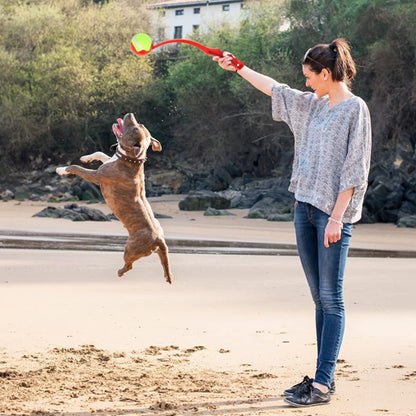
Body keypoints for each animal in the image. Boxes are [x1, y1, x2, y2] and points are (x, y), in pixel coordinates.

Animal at [55, 113, 172, 282]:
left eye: (135, 128)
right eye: (140, 124)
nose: (130, 114)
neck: (130, 159)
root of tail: (159, 239)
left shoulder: (96, 176)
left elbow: (76, 167)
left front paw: (62, 169)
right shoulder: (108, 161)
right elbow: (100, 153)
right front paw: (85, 157)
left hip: (130, 249)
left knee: (129, 265)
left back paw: (120, 272)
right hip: (158, 249)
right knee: (163, 262)